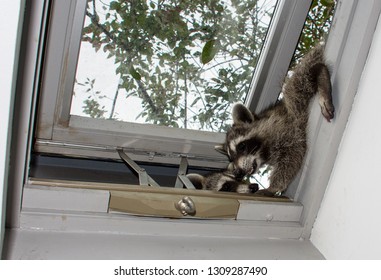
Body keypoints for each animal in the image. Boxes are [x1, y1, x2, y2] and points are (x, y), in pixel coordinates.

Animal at [217, 44, 332, 197]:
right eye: (231, 158)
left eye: (242, 147)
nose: (239, 172)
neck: (264, 152)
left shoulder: (287, 125)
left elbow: (292, 156)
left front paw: (274, 187)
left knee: (300, 80)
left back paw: (320, 72)